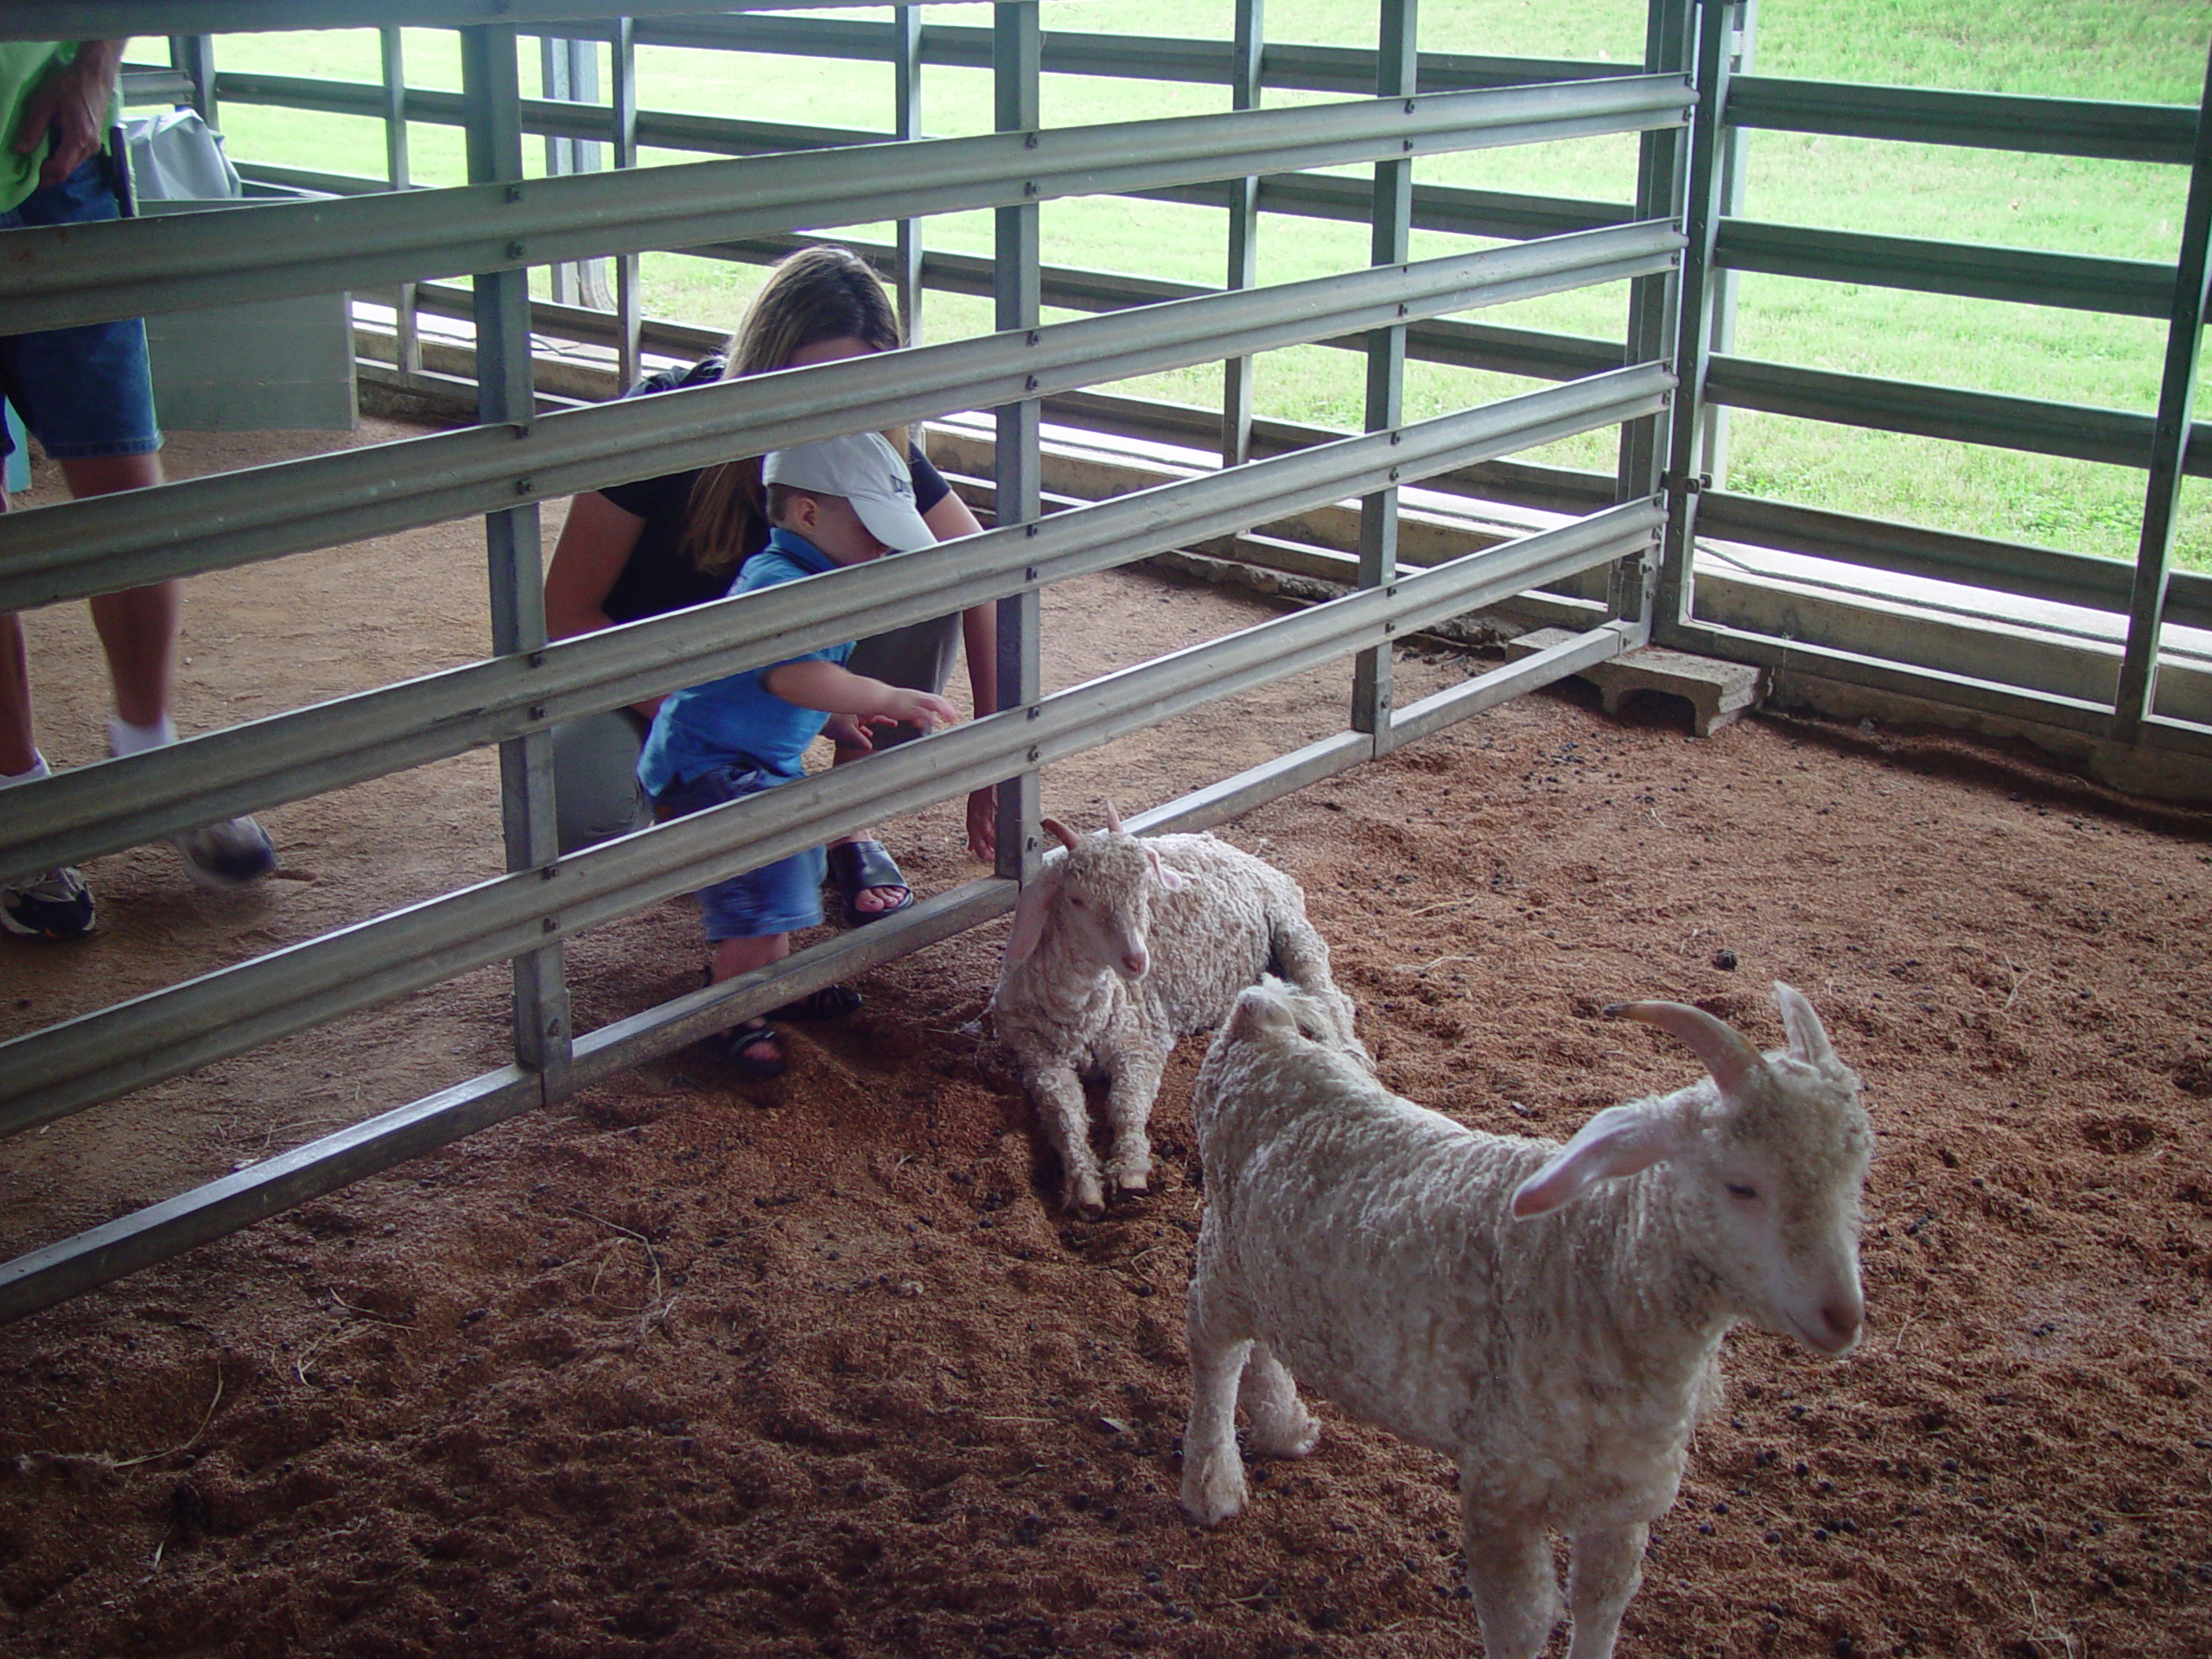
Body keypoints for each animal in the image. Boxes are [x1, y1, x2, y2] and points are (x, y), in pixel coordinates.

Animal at [990, 814, 1362, 1221]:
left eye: (1144, 891)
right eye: (1076, 899)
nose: (1137, 961)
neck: (1082, 1013)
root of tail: (1234, 850)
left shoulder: (1140, 1039)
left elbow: (1127, 1103)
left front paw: (1131, 1171)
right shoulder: (1040, 1059)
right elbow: (1065, 1116)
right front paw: (1085, 1186)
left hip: (1292, 927)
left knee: (1331, 999)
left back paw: (1349, 1056)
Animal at [1185, 973, 1875, 1659]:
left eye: (1856, 1172)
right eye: (1741, 1185)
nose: (1842, 1316)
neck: (1596, 1262)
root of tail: (1263, 1016)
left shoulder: (1621, 1502)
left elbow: (1603, 1601)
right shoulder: (1502, 1482)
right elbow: (1519, 1621)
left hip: (1267, 1261)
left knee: (1263, 1339)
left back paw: (1285, 1426)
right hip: (1222, 1250)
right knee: (1215, 1352)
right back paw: (1214, 1483)